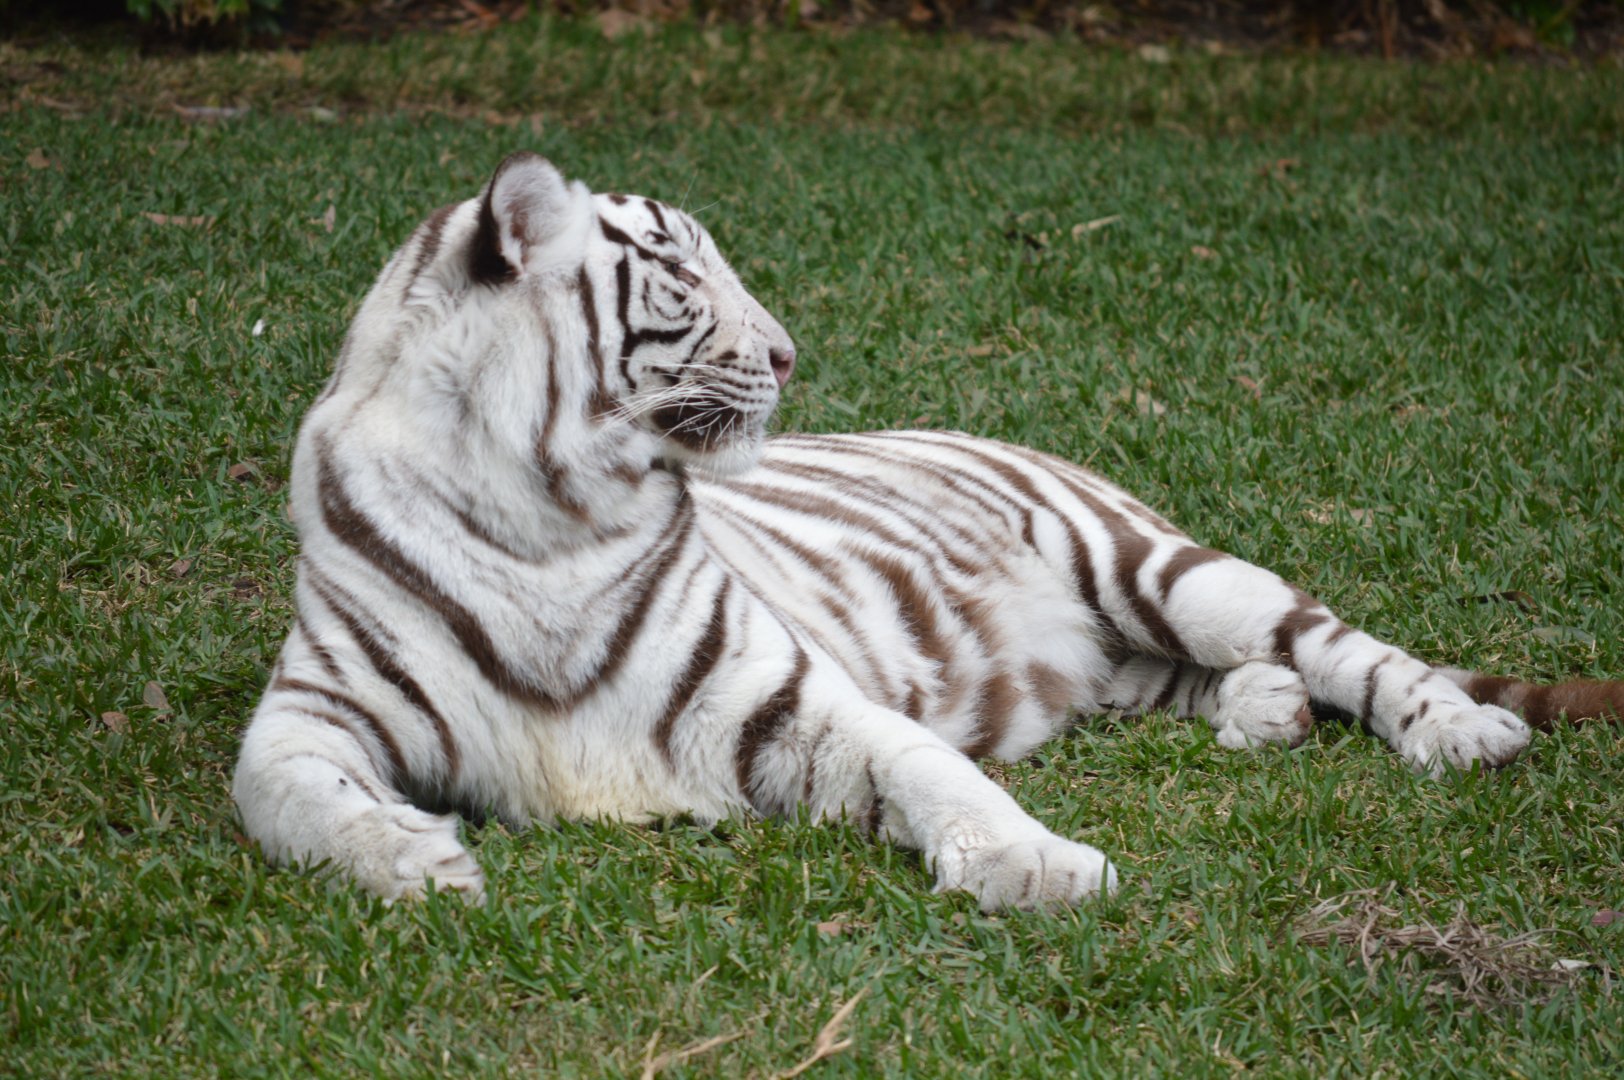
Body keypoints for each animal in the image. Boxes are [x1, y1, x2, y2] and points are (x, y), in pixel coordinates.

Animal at [233, 153, 1624, 911]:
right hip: (1112, 656)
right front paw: (414, 866)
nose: (789, 353)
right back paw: (1261, 711)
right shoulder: (316, 710)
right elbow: (284, 794)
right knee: (1196, 679)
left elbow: (934, 773)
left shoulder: (786, 696)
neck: (546, 519)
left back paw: (1457, 730)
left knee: (1342, 646)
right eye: (684, 276)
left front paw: (1042, 871)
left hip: (1163, 570)